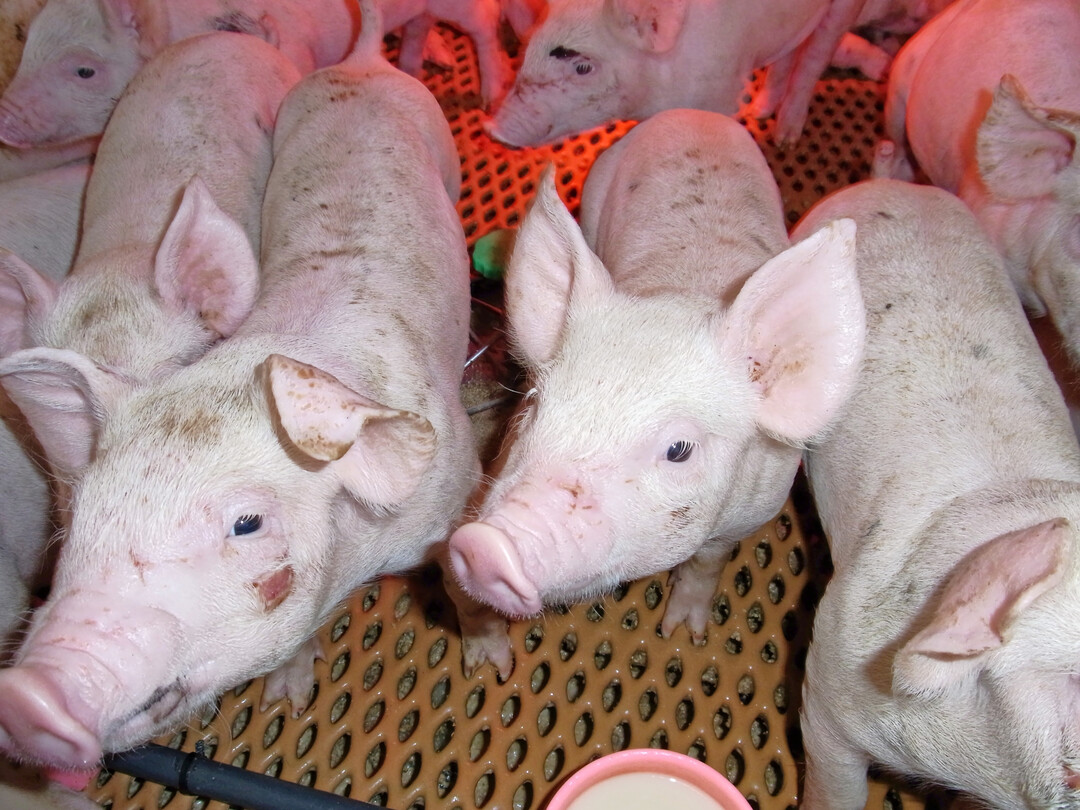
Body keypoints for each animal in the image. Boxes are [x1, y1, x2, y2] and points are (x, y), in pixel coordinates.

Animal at [448, 109, 865, 672]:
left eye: (679, 449)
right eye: (534, 406)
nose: (483, 546)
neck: (679, 295)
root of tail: (692, 114)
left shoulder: (748, 514)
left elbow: (707, 563)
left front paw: (683, 634)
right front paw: (489, 669)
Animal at [486, 0, 843, 147]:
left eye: (583, 67)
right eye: (531, 45)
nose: (492, 129)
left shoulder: (722, 87)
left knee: (814, 57)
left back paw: (785, 140)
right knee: (788, 55)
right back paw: (761, 111)